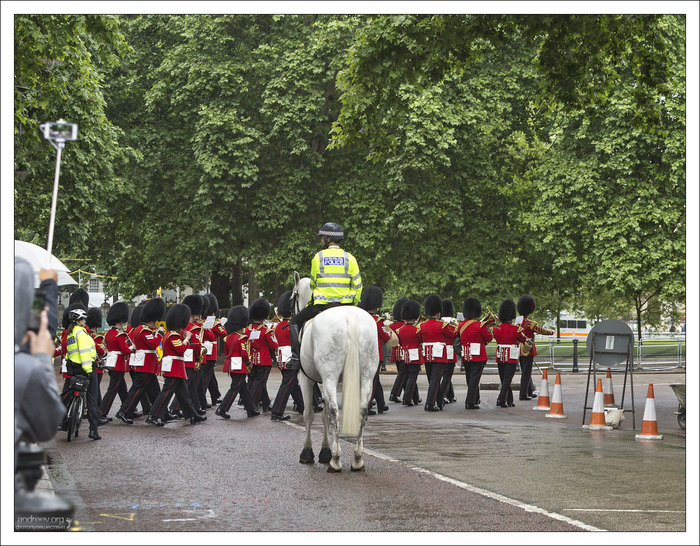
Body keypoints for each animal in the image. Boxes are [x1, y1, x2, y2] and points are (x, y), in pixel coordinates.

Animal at [290, 270, 380, 470]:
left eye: (293, 296)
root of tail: (350, 320)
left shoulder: (306, 379)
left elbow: (310, 414)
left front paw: (310, 452)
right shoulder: (324, 381)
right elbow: (323, 416)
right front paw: (325, 450)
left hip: (330, 376)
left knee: (333, 411)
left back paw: (336, 460)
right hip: (366, 376)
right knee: (362, 411)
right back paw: (357, 459)